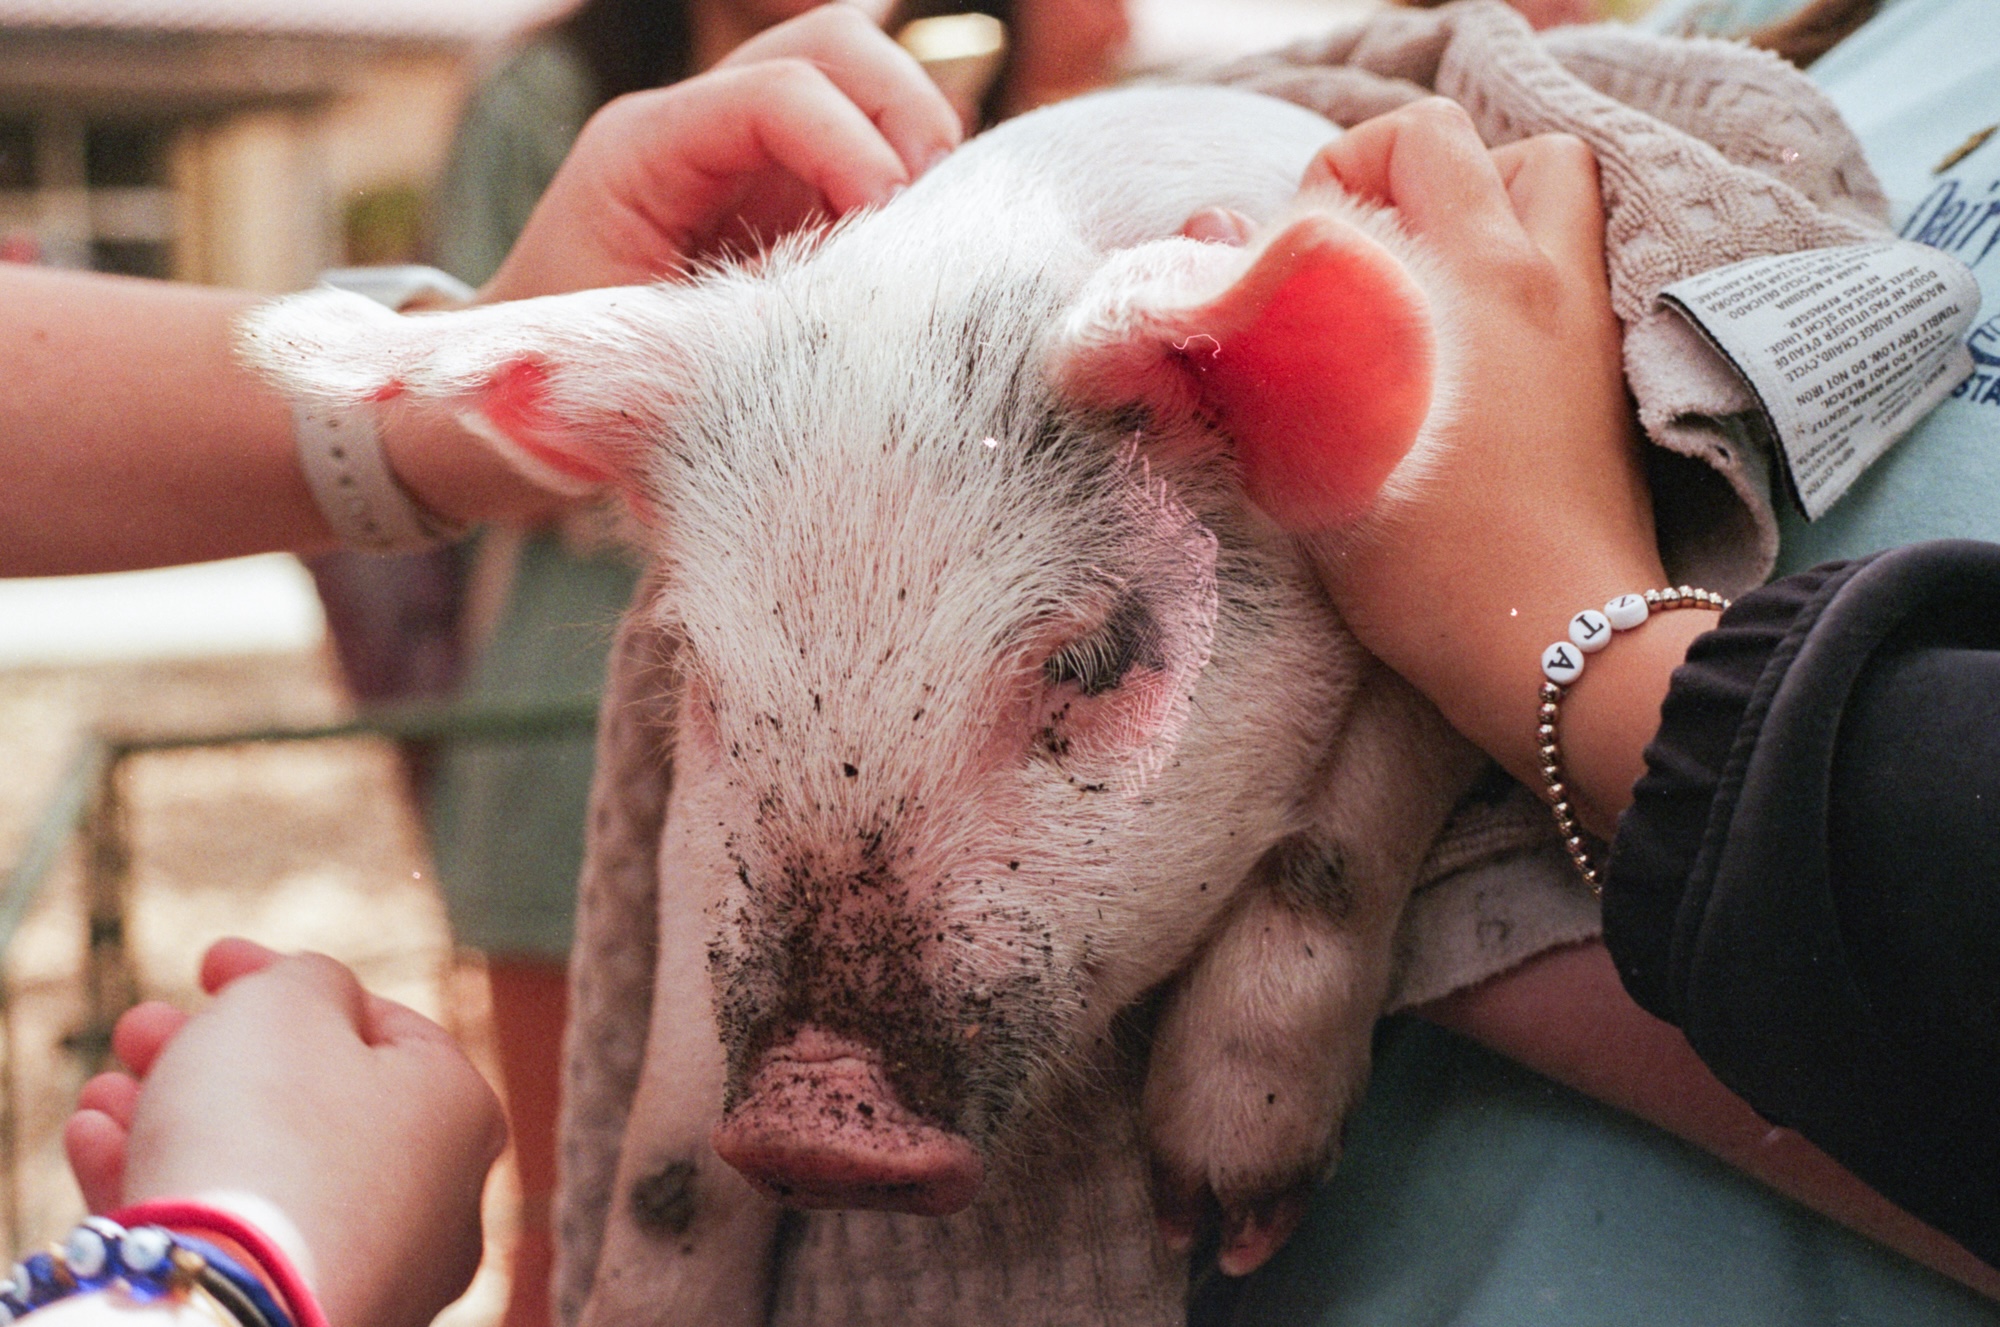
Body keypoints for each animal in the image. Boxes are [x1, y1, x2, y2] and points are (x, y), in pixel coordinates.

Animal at [246, 85, 1488, 1327]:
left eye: (1093, 657)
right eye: (697, 673)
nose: (812, 1114)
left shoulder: (1418, 604)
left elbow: (1341, 829)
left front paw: (1223, 1216)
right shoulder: (695, 833)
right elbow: (667, 1134)